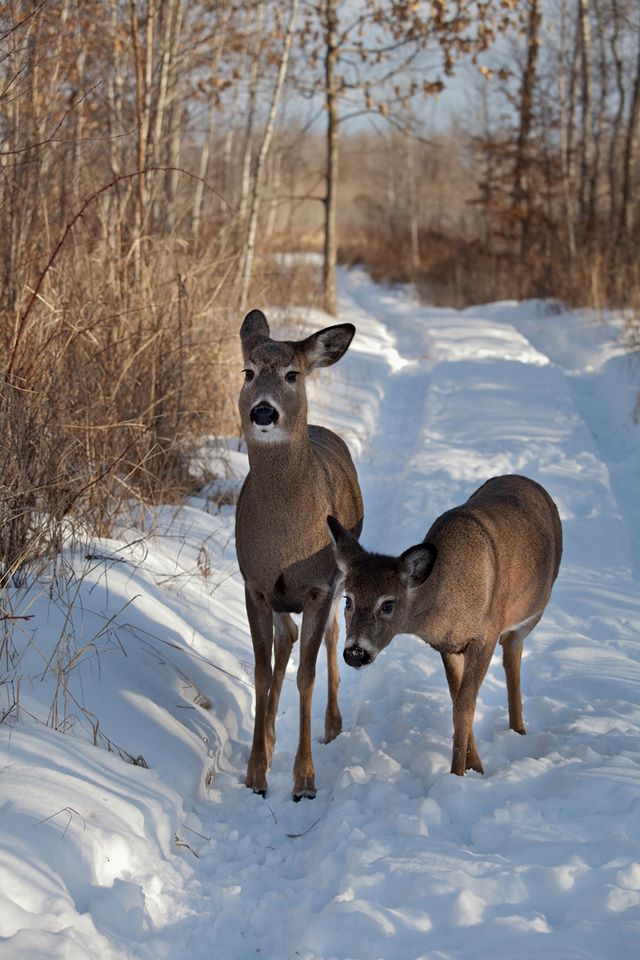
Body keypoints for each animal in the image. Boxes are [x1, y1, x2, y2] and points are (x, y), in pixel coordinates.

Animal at [236, 312, 364, 800]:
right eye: (247, 372)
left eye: (293, 374)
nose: (264, 411)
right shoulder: (254, 583)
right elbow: (261, 671)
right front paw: (256, 773)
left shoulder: (319, 586)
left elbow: (306, 675)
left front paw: (305, 780)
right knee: (285, 639)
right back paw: (272, 738)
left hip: (342, 577)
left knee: (331, 637)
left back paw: (332, 725)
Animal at [328, 476, 564, 776]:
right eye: (348, 599)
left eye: (388, 604)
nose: (355, 653)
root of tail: (527, 480)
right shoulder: (448, 646)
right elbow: (457, 701)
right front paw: (474, 766)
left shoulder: (485, 635)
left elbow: (465, 705)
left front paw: (459, 773)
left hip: (533, 613)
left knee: (513, 654)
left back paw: (518, 730)